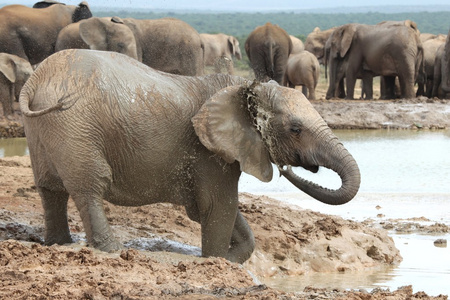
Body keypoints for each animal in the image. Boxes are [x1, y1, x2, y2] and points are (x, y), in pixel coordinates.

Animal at [19, 48, 360, 262]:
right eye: (295, 129)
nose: (287, 169)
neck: (242, 87)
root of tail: (35, 80)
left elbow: (213, 210)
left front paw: (227, 259)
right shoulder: (208, 151)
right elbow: (219, 207)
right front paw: (214, 260)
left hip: (45, 128)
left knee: (49, 188)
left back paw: (59, 244)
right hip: (74, 124)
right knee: (89, 185)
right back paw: (114, 251)